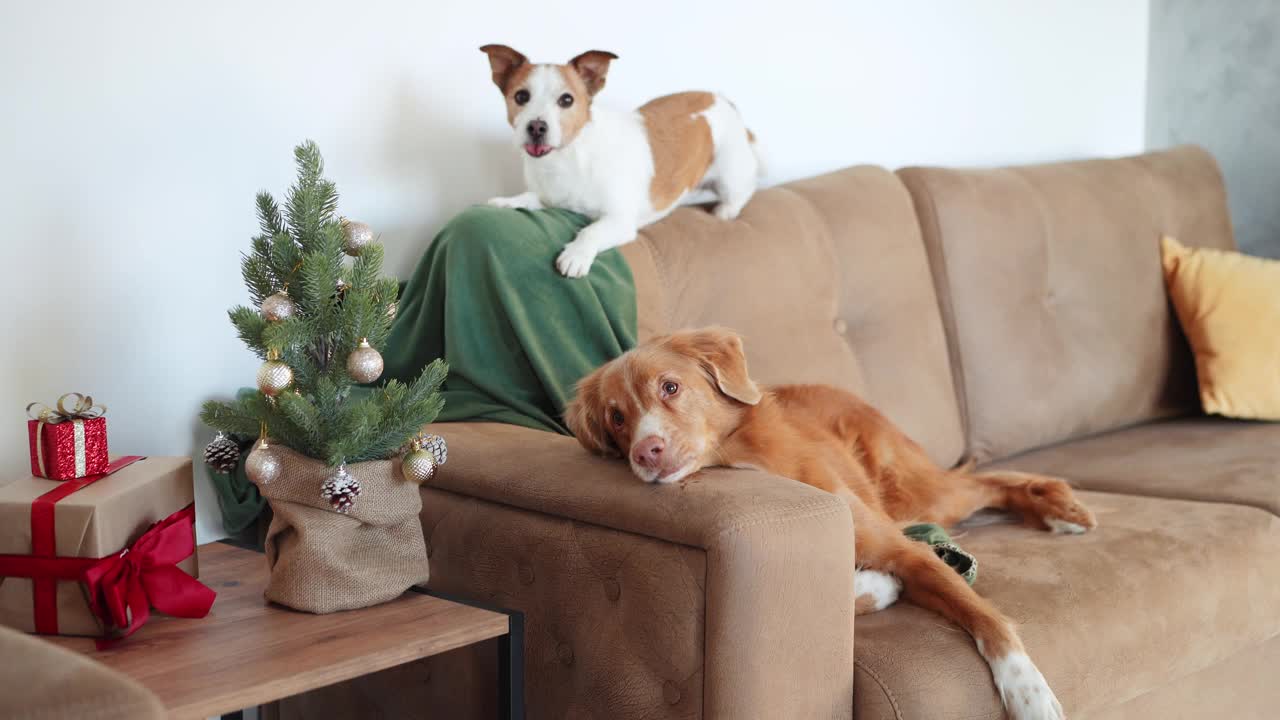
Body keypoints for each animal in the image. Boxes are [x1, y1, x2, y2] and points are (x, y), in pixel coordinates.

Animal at [481, 44, 757, 274]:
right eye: (521, 97)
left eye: (567, 100)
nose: (536, 127)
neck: (568, 157)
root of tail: (720, 98)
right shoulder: (548, 198)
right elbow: (529, 198)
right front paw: (508, 202)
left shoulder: (620, 221)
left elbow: (591, 231)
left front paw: (576, 254)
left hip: (730, 175)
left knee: (742, 191)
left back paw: (726, 210)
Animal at [565, 326, 1095, 717]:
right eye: (616, 418)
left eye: (670, 387)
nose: (645, 452)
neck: (744, 458)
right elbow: (854, 594)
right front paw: (878, 586)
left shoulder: (906, 550)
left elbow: (987, 618)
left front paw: (1029, 695)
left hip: (915, 492)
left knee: (988, 480)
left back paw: (1061, 508)